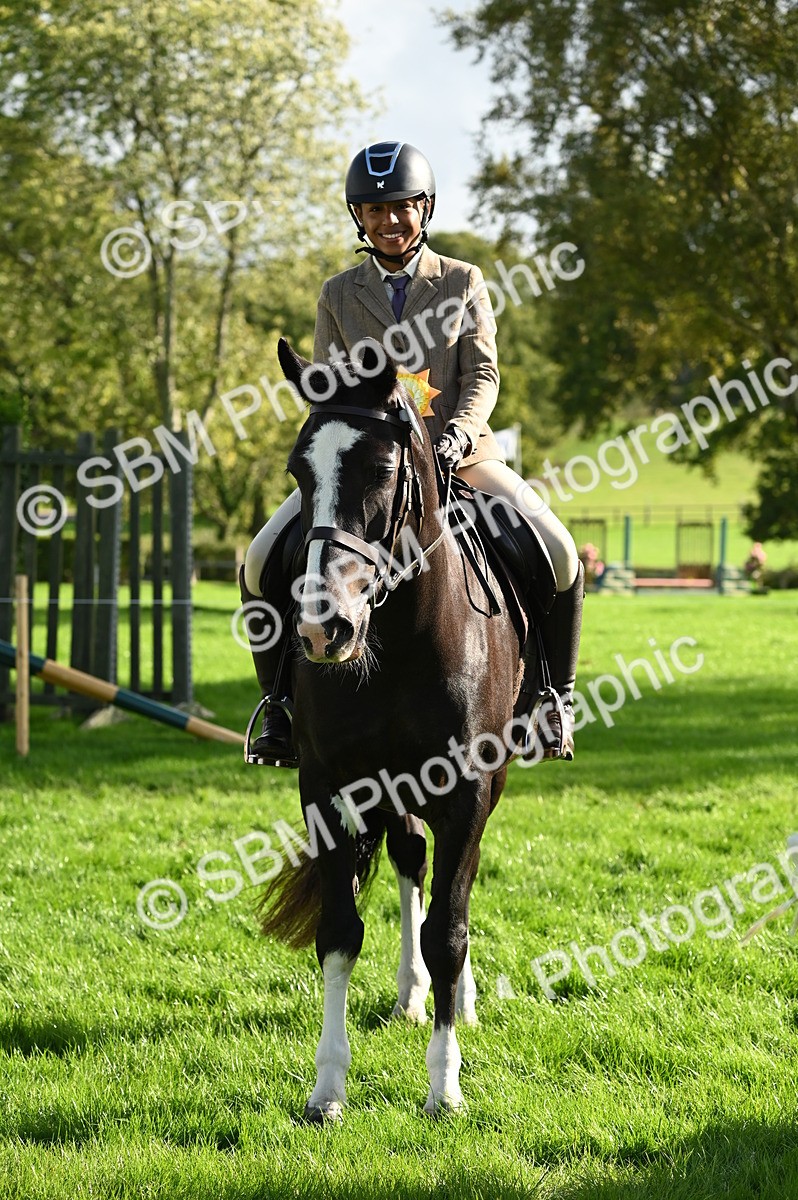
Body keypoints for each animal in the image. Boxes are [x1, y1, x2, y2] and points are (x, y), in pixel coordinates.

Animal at [258, 336, 528, 1121]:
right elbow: (339, 931)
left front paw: (445, 1088)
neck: (399, 637)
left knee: (449, 889)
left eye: (381, 470)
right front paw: (326, 1088)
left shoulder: (466, 793)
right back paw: (411, 993)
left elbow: (450, 929)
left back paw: (455, 998)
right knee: (410, 856)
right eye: (299, 470)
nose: (323, 631)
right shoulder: (323, 787)